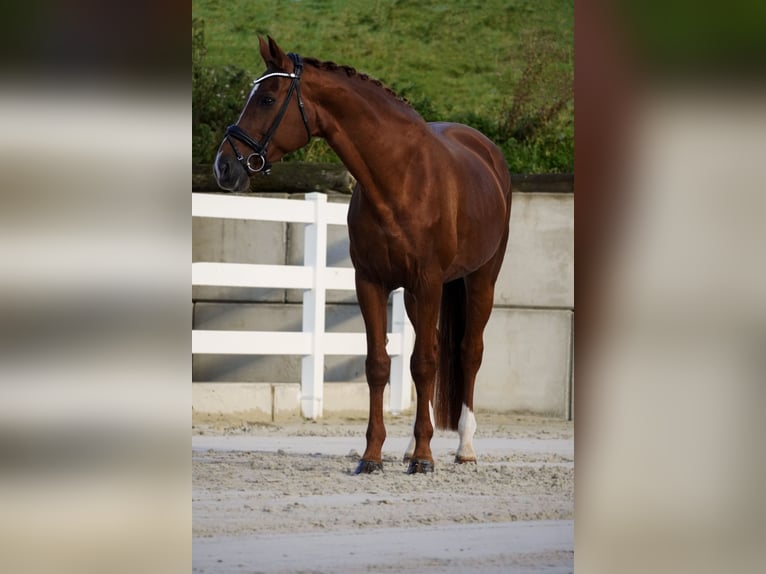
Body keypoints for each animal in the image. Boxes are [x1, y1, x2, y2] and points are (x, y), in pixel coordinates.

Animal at [213, 37, 512, 476]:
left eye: (267, 98)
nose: (224, 166)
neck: (400, 178)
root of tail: (488, 153)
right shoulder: (371, 282)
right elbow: (379, 365)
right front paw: (372, 456)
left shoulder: (428, 281)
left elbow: (425, 364)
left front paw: (425, 460)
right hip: (415, 295)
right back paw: (410, 446)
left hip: (479, 280)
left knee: (467, 353)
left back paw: (463, 448)